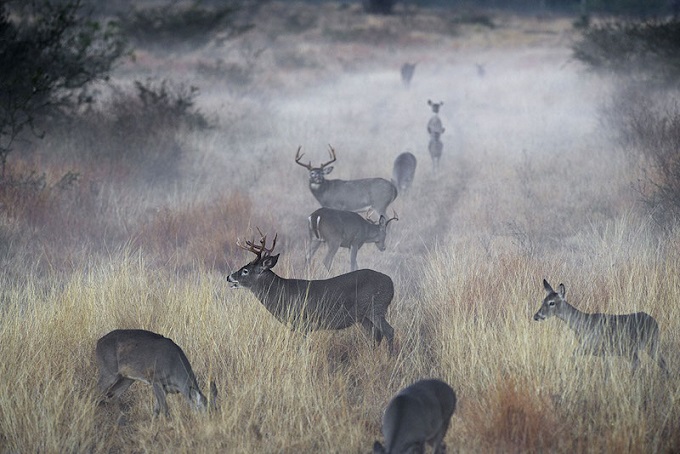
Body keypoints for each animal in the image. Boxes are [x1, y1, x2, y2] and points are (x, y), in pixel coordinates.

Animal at [532, 280, 668, 372]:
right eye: (543, 300)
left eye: (552, 303)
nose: (536, 316)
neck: (582, 325)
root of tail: (655, 322)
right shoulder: (595, 350)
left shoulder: (601, 348)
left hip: (645, 346)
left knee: (645, 363)